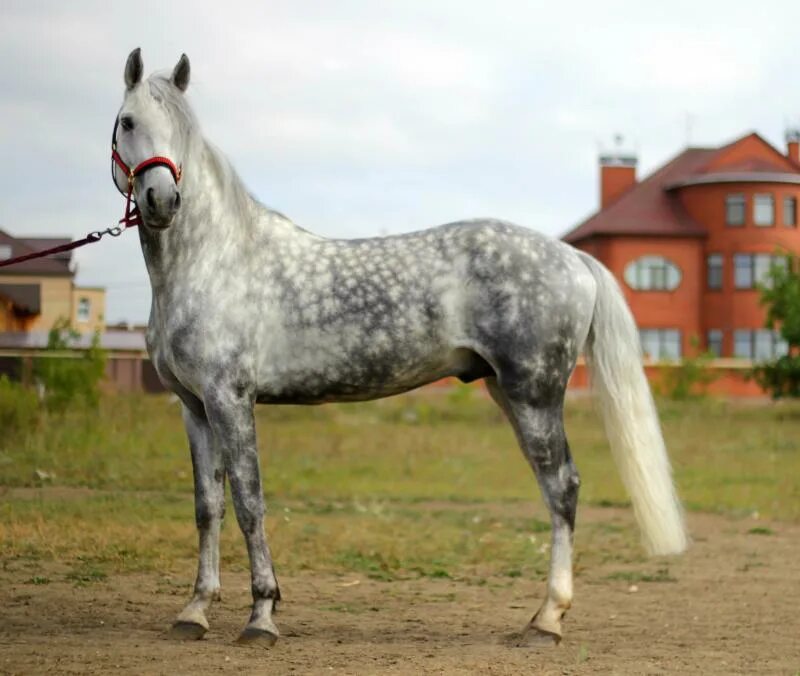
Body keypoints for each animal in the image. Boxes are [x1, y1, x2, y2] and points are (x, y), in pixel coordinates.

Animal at [112, 50, 688, 648]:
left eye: (182, 130)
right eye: (128, 122)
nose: (162, 201)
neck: (214, 262)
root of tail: (572, 257)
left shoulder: (231, 399)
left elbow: (250, 503)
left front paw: (262, 617)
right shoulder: (195, 407)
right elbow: (209, 507)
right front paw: (194, 611)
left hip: (535, 395)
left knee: (562, 488)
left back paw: (547, 620)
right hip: (508, 392)